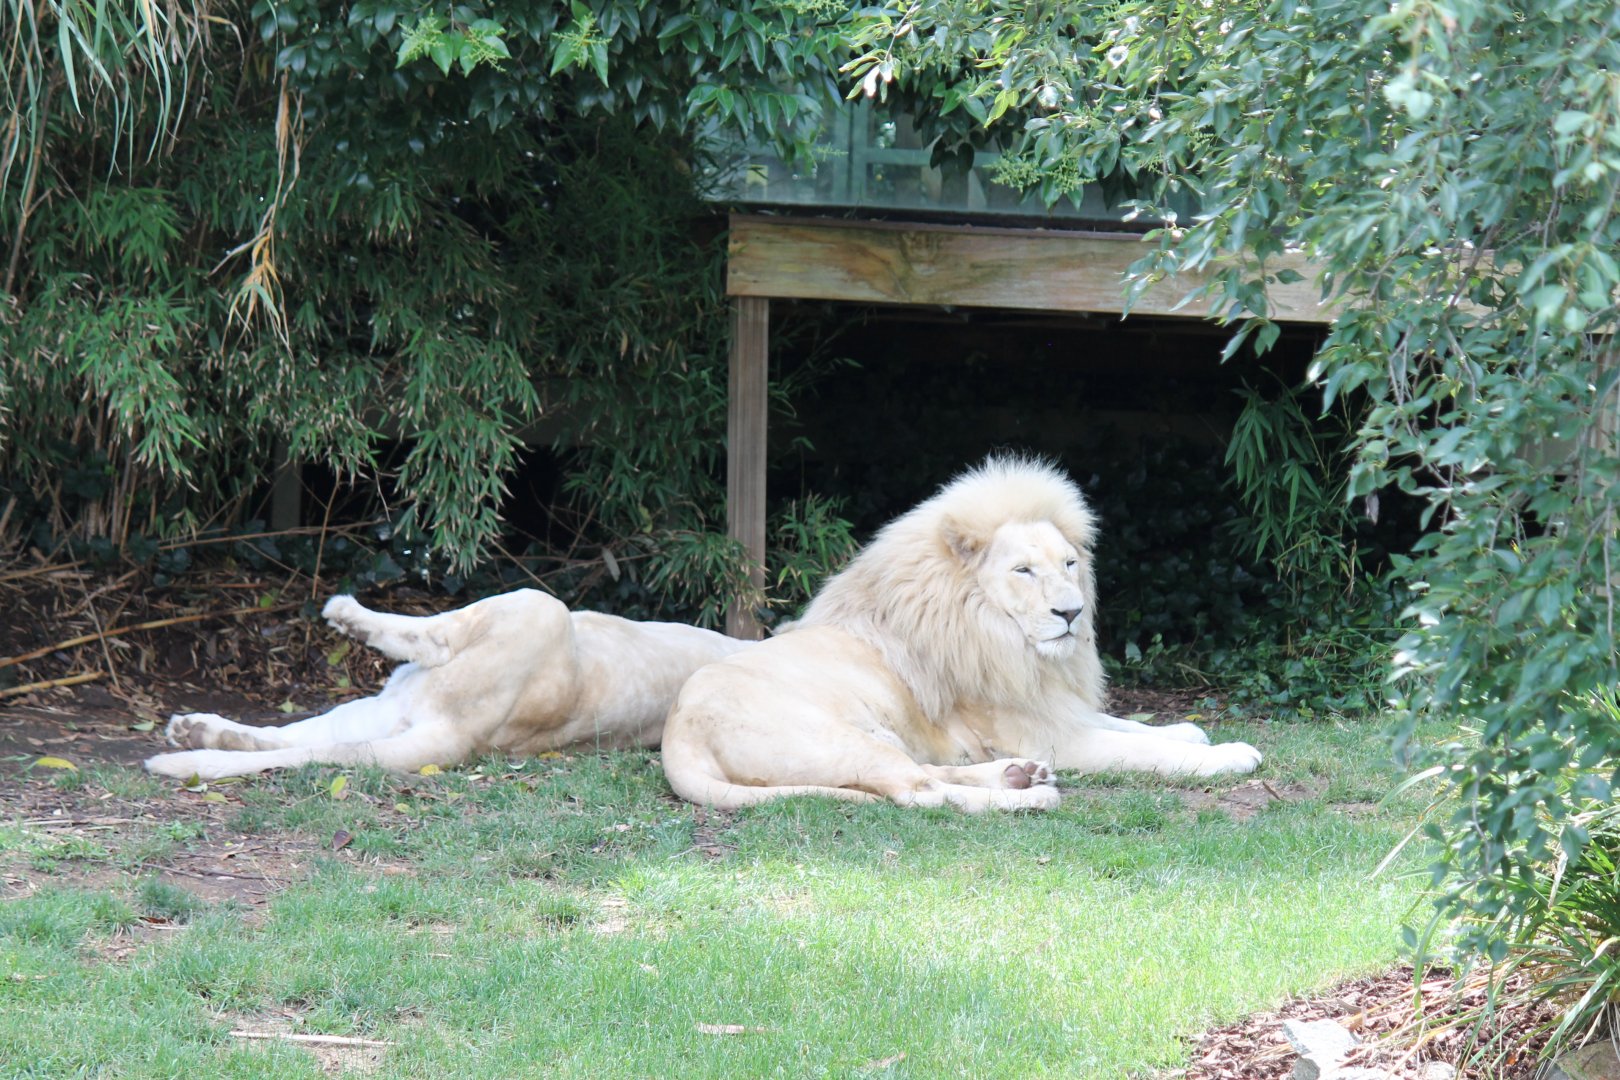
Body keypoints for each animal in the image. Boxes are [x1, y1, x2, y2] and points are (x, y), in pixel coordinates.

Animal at [144, 589, 751, 781]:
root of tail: (461, 737)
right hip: (386, 707)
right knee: (289, 740)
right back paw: (195, 731)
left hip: (540, 607)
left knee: (433, 637)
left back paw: (347, 613)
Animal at [660, 457, 1263, 812]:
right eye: (1024, 571)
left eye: (1069, 563)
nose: (1071, 613)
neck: (1005, 639)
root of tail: (676, 738)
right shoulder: (1048, 731)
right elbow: (1138, 749)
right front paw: (1229, 755)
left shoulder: (1048, 709)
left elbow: (1133, 726)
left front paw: (1189, 730)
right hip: (844, 739)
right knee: (921, 794)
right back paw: (1029, 800)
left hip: (884, 737)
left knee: (928, 773)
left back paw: (1018, 776)